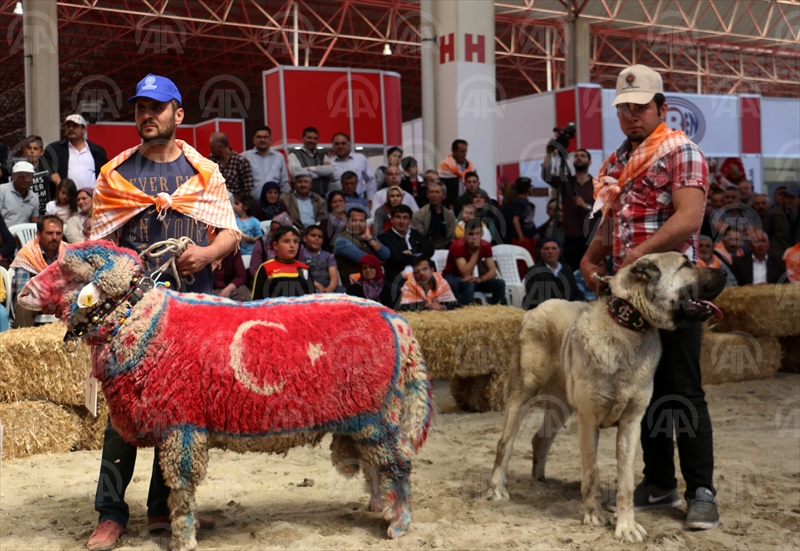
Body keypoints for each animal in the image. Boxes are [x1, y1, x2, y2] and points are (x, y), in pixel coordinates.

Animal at [488, 253, 724, 544]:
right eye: (687, 264)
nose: (725, 273)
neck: (630, 328)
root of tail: (535, 309)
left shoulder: (631, 424)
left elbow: (625, 481)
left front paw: (626, 525)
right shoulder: (588, 421)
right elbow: (593, 473)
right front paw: (594, 515)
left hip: (562, 405)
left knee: (540, 439)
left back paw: (540, 480)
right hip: (520, 395)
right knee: (504, 445)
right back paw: (497, 489)